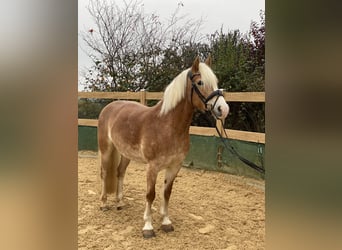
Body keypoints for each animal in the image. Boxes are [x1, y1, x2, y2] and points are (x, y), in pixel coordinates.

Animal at [97, 56, 228, 238]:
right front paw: (148, 227)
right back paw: (103, 204)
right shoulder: (152, 167)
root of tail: (109, 107)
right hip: (106, 150)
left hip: (125, 154)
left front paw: (166, 222)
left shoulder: (174, 166)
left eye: (216, 83)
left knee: (120, 172)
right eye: (200, 82)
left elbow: (167, 193)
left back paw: (120, 202)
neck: (167, 125)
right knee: (104, 173)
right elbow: (150, 195)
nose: (223, 109)